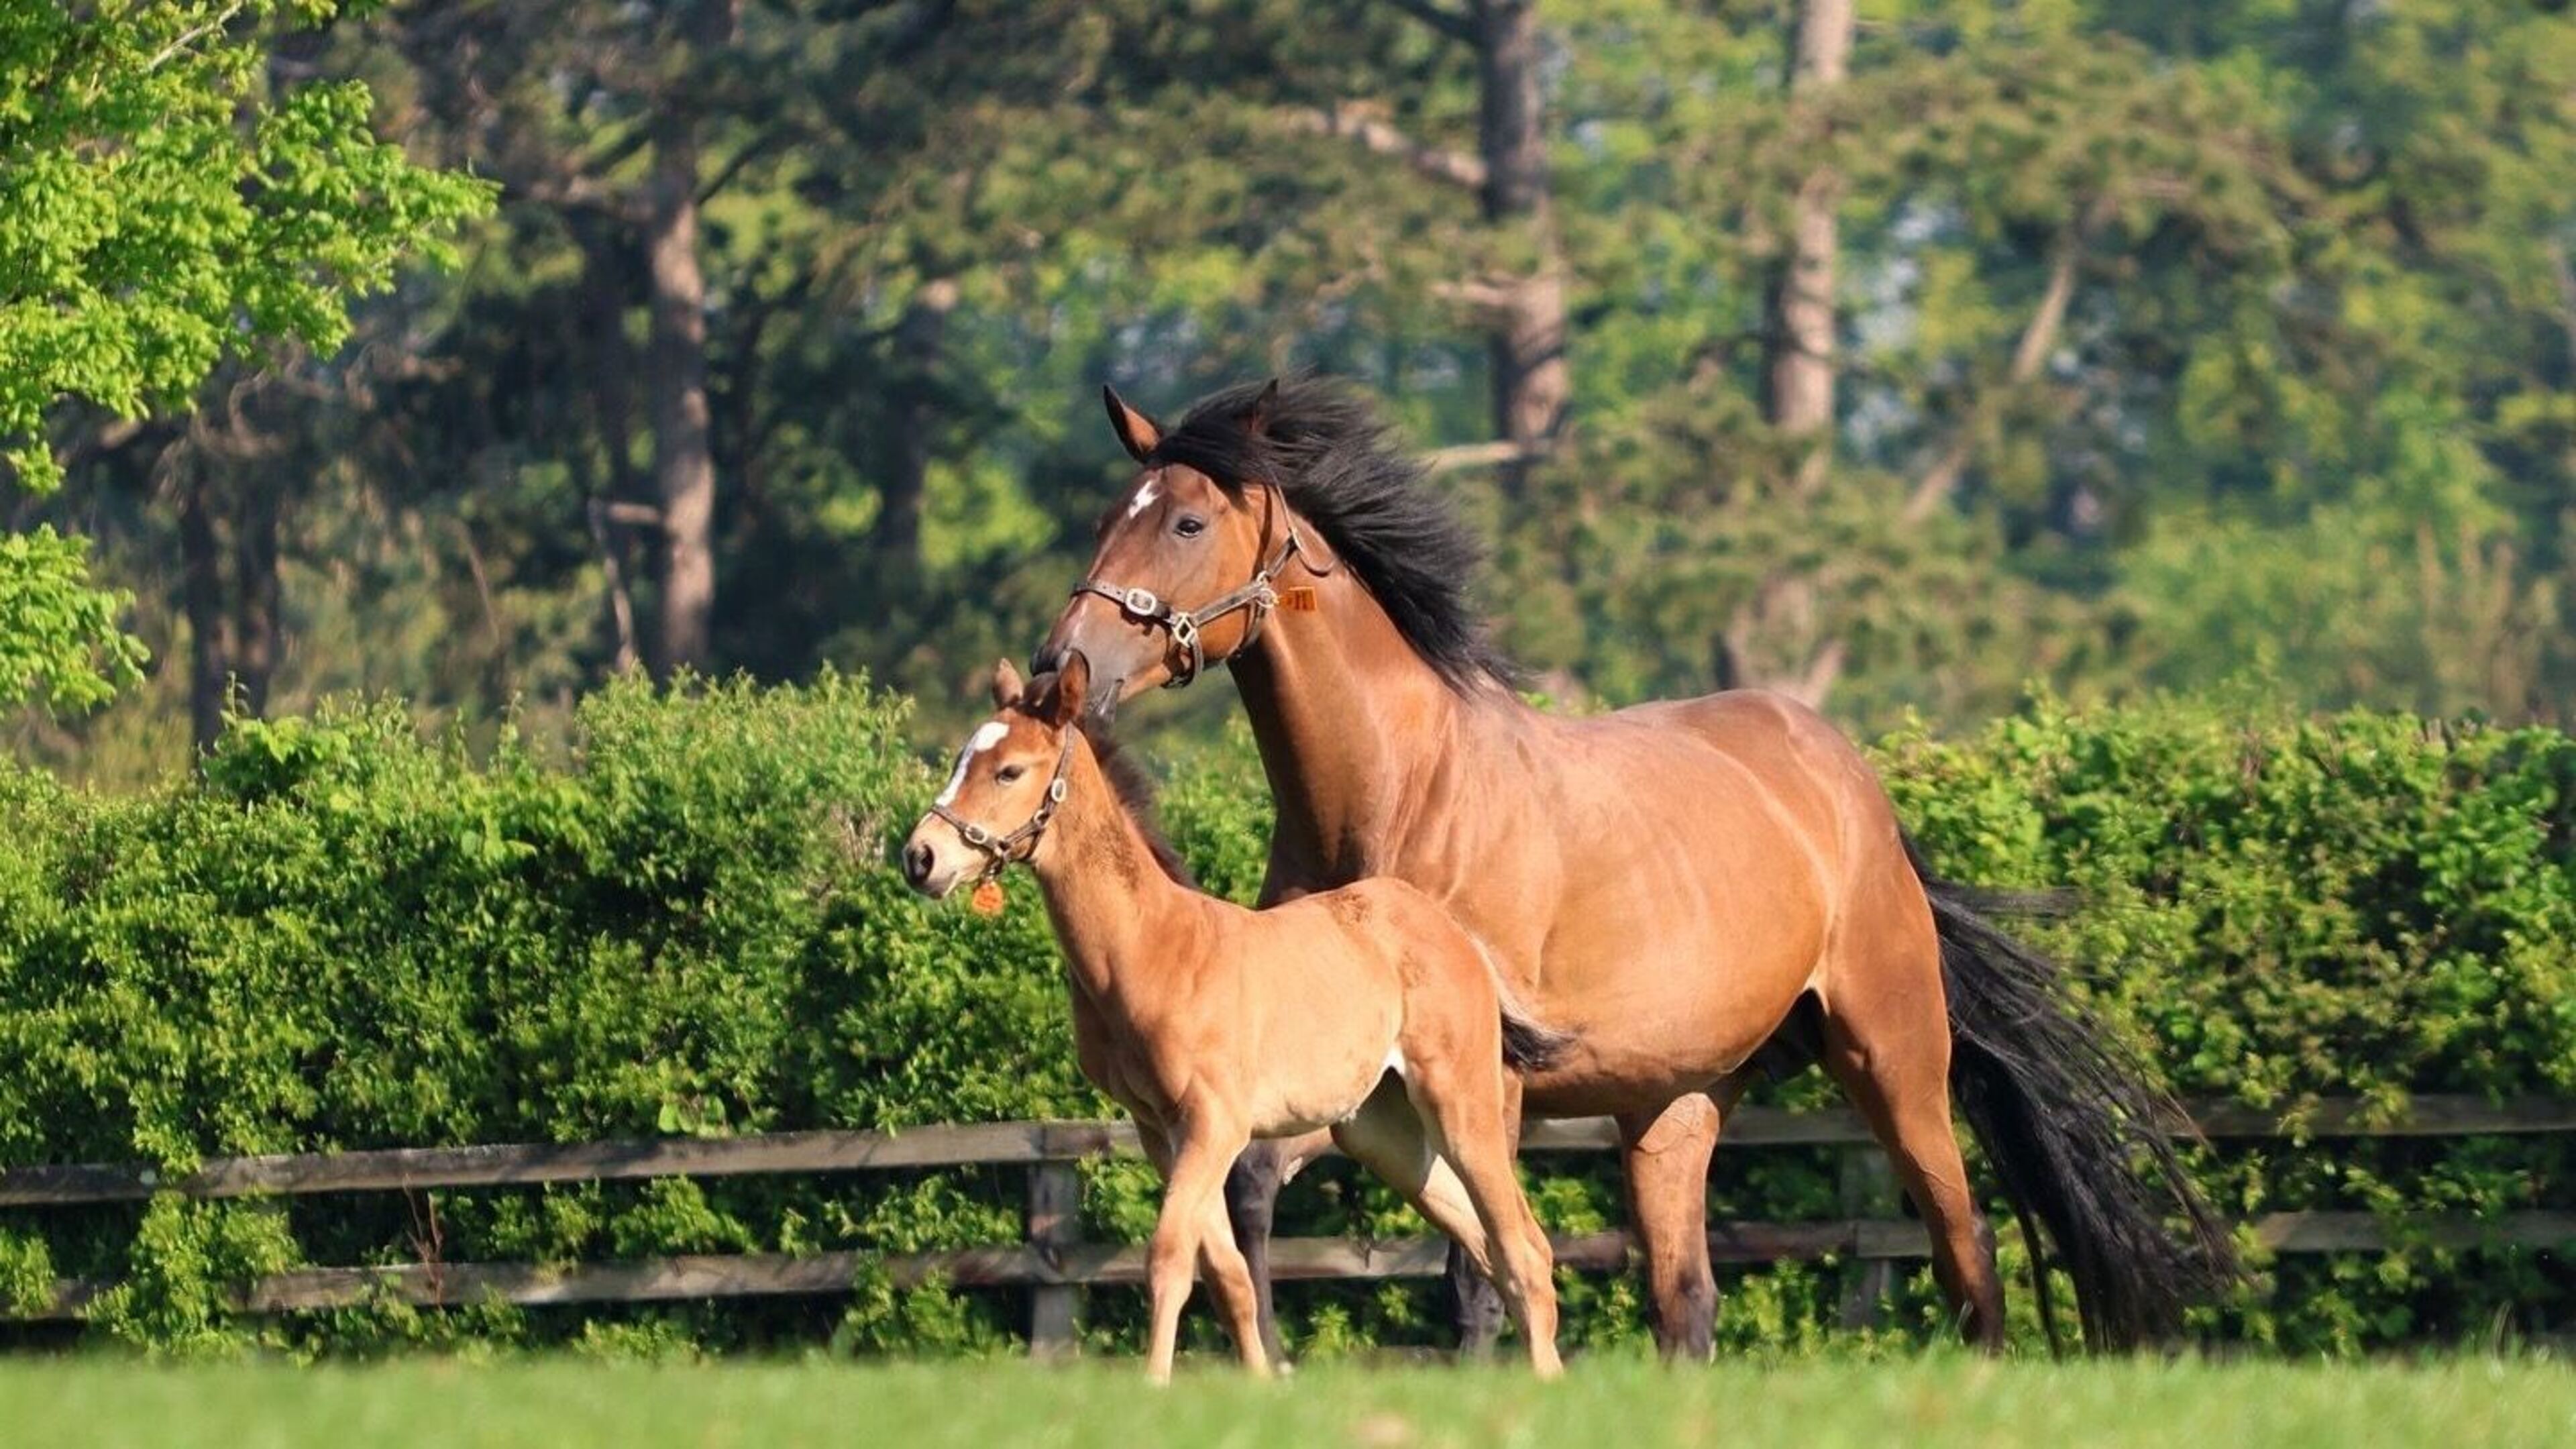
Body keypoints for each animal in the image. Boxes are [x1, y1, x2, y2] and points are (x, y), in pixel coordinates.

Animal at [901, 651, 1573, 1382]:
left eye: (1009, 771)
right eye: (960, 758)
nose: (920, 857)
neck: (1152, 948)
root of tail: (1454, 932)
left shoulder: (1213, 1123)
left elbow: (1169, 1257)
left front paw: (1154, 1386)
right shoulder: (1162, 1131)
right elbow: (1228, 1276)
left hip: (1459, 1103)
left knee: (1522, 1248)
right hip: (1383, 1132)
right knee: (1492, 1242)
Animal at [1031, 374, 2240, 1361]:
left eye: (1188, 520)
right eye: (1107, 519)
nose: (1062, 667)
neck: (1399, 796)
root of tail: (1853, 788)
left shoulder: (1485, 1080)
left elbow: (1480, 1266)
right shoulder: (1340, 1074)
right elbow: (1251, 1191)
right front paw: (1267, 1362)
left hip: (1893, 1058)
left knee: (1963, 1243)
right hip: (1678, 1103)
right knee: (1686, 1300)